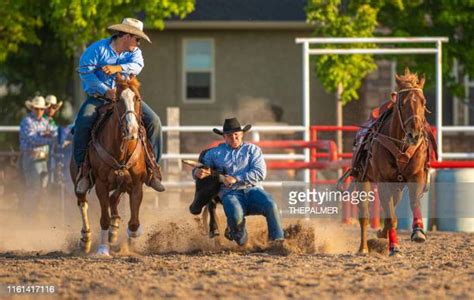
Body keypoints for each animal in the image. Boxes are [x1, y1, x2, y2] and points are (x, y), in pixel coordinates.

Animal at [70, 74, 147, 254]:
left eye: (137, 98)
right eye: (118, 99)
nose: (132, 130)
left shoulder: (136, 183)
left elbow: (134, 222)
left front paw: (132, 237)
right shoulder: (101, 184)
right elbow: (103, 219)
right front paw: (103, 249)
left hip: (122, 183)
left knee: (114, 200)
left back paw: (114, 230)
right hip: (79, 181)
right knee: (82, 202)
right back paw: (86, 239)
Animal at [350, 69, 436, 255]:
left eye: (423, 102)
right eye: (402, 104)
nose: (414, 134)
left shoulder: (416, 176)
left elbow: (414, 202)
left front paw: (418, 231)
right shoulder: (383, 181)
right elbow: (390, 218)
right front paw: (394, 246)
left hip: (397, 187)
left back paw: (382, 233)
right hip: (362, 179)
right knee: (365, 215)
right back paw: (363, 248)